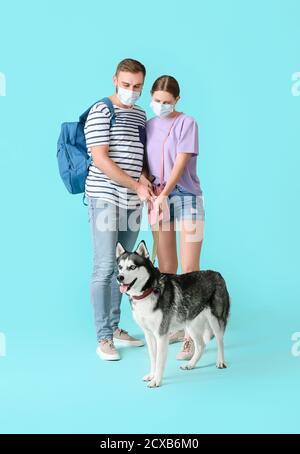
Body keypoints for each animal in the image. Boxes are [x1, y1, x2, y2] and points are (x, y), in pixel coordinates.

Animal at [116, 239, 231, 388]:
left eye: (132, 267)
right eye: (120, 267)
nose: (119, 277)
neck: (147, 291)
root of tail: (217, 274)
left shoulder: (161, 335)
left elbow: (159, 360)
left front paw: (156, 381)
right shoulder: (149, 334)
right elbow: (153, 358)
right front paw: (152, 375)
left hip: (215, 321)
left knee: (220, 341)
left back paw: (220, 361)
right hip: (191, 324)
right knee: (201, 346)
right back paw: (190, 365)